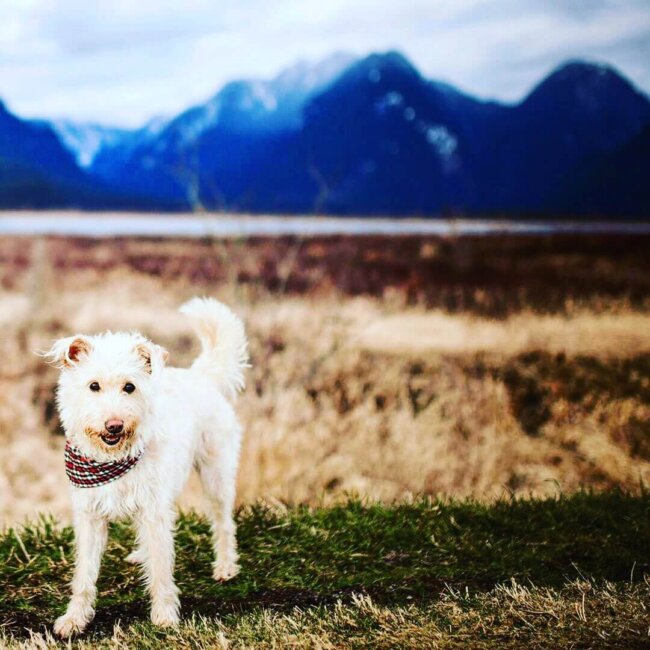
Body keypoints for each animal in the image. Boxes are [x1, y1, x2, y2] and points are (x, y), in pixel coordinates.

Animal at [44, 296, 248, 636]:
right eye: (93, 386)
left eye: (129, 387)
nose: (114, 425)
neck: (111, 459)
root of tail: (200, 376)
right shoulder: (90, 517)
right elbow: (84, 575)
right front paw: (74, 618)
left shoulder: (153, 510)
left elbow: (162, 570)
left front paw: (164, 615)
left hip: (216, 475)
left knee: (223, 524)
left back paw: (225, 566)